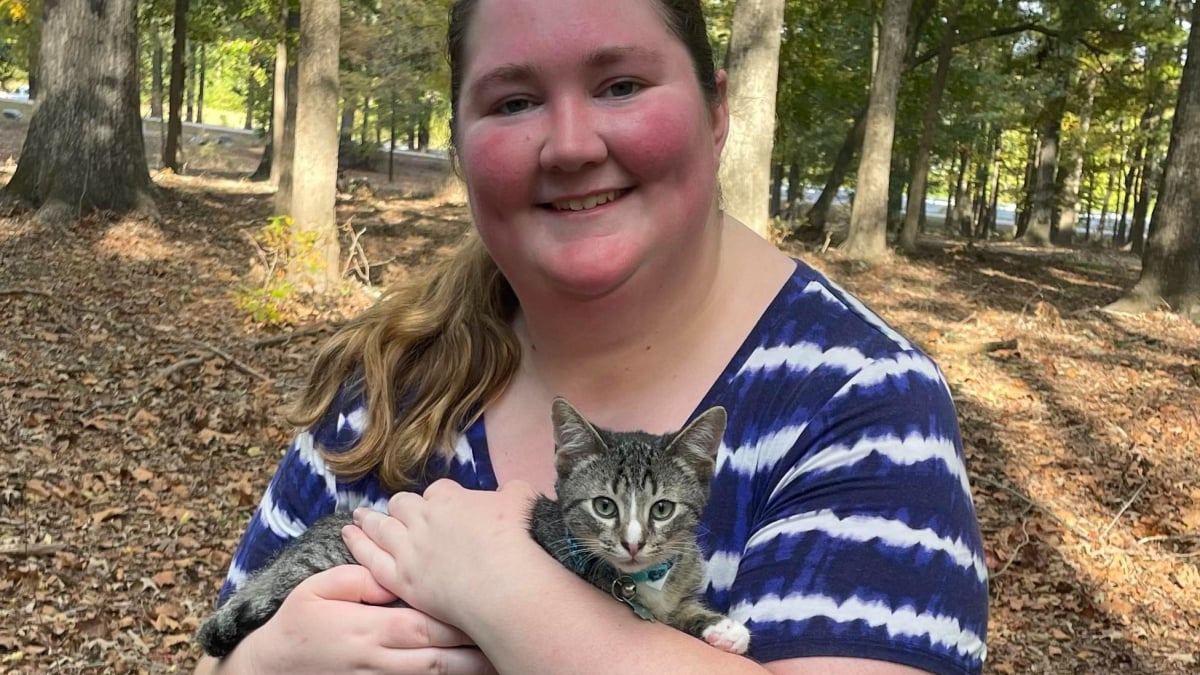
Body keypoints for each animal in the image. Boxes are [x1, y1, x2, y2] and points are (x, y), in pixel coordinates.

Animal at [194, 396, 748, 653]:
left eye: (662, 509)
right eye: (605, 507)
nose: (633, 544)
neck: (641, 580)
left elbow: (681, 611)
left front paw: (720, 627)